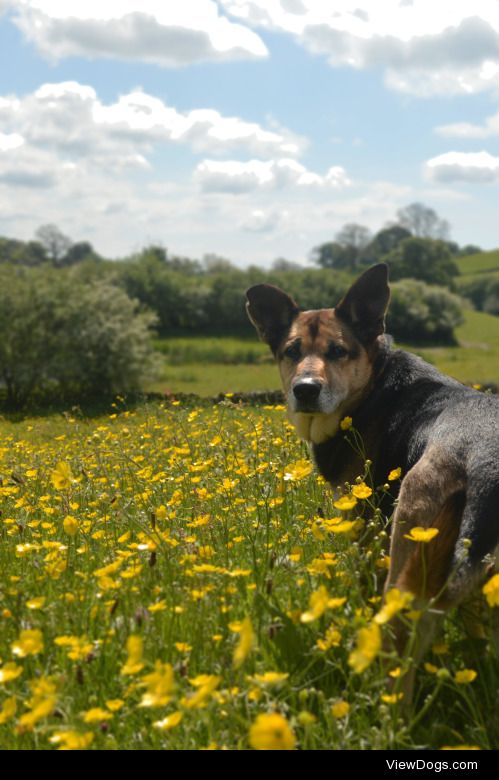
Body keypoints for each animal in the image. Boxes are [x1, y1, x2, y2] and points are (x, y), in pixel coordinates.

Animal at [246, 266, 499, 704]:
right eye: (291, 351)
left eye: (338, 351)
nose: (305, 389)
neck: (371, 386)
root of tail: (485, 458)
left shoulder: (367, 539)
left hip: (408, 567)